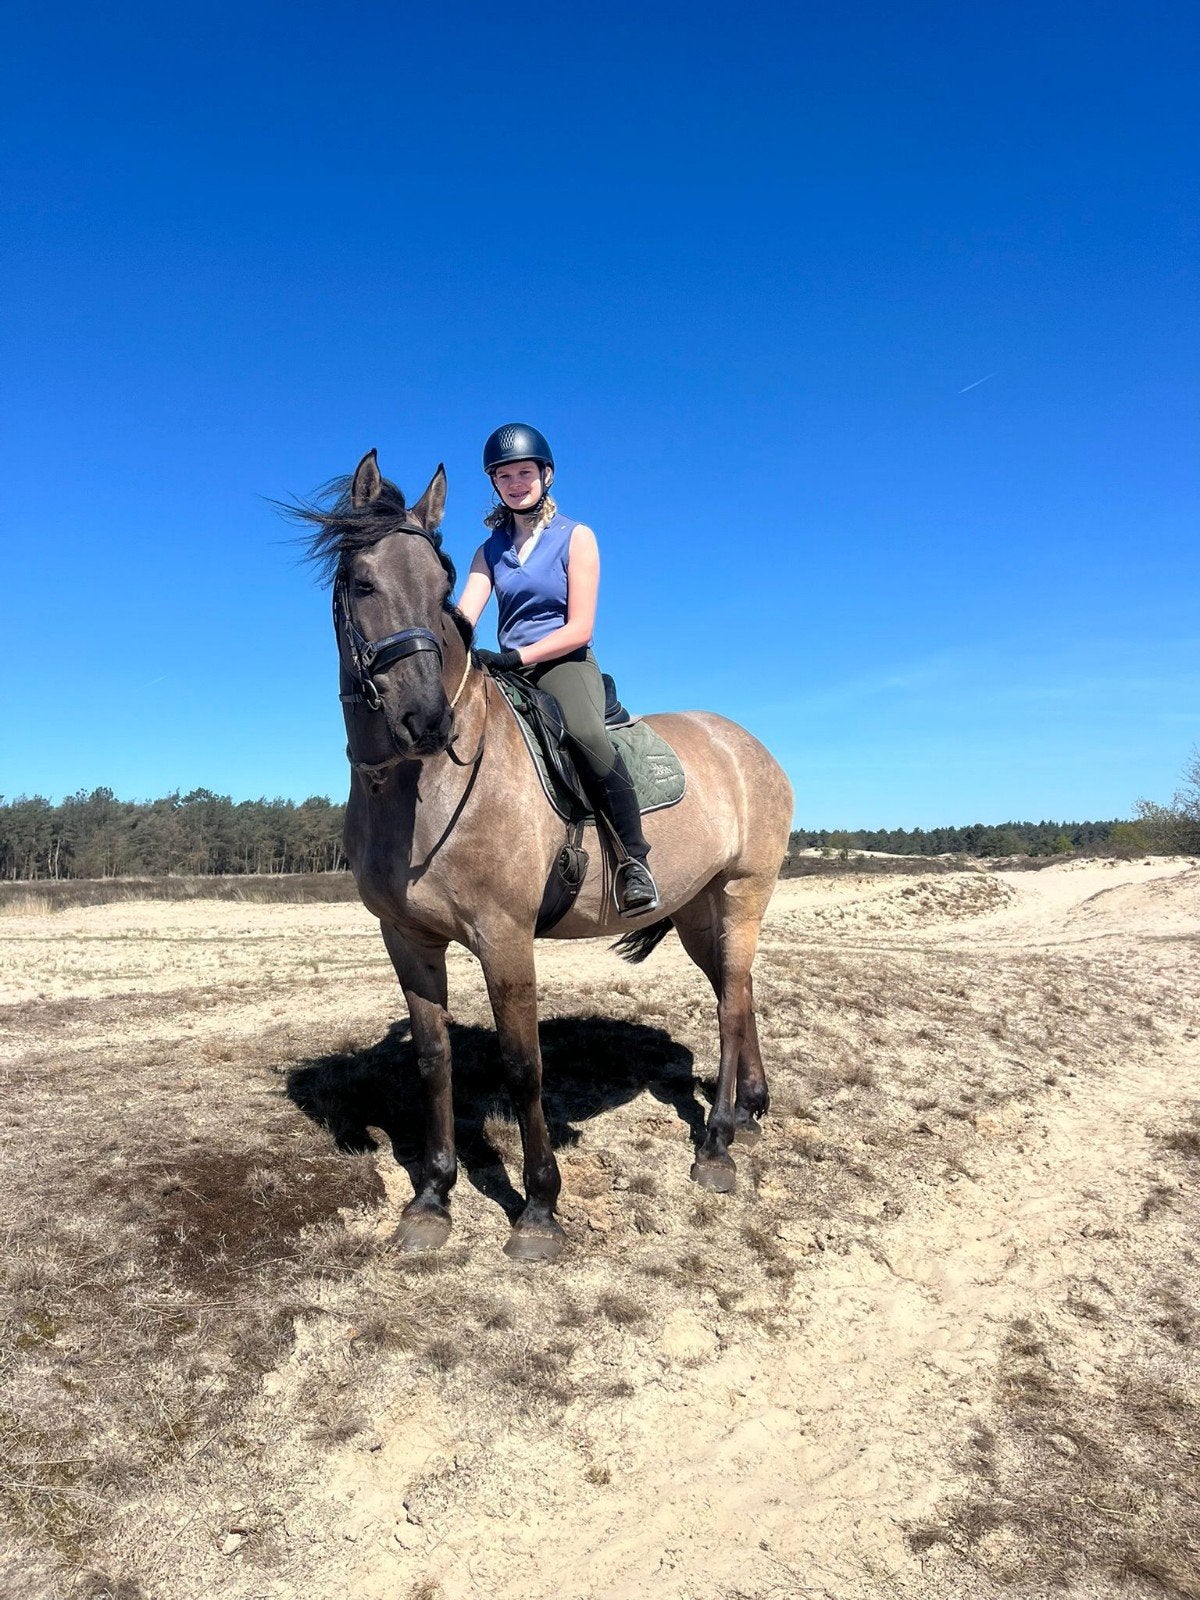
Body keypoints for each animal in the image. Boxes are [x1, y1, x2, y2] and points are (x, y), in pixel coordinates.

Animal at [299, 450, 793, 1262]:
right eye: (363, 583)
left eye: (441, 590)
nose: (426, 720)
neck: (420, 787)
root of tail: (749, 746)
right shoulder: (406, 939)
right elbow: (433, 1060)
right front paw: (432, 1198)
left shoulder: (505, 938)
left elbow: (523, 1066)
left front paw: (538, 1208)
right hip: (700, 908)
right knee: (738, 989)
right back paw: (749, 1113)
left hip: (744, 892)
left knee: (728, 1004)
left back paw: (717, 1143)